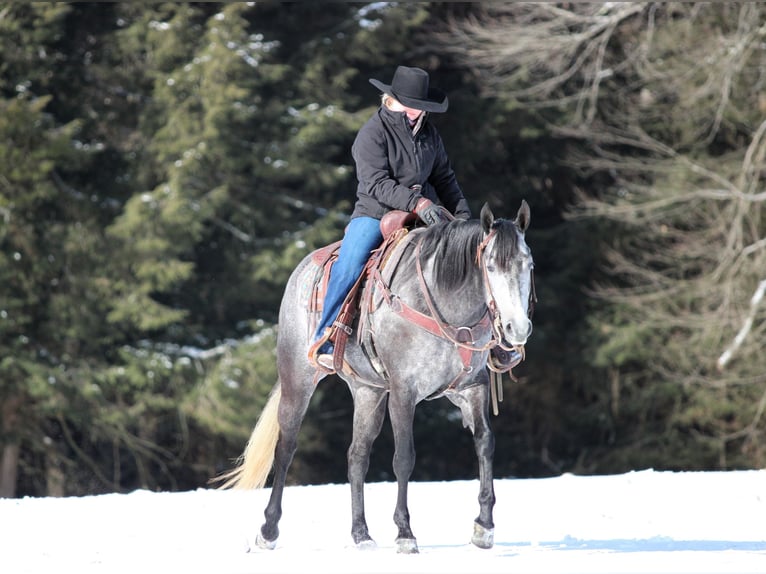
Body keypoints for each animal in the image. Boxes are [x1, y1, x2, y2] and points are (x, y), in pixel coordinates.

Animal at [219, 201, 536, 552]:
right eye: (490, 266)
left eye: (529, 264)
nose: (517, 329)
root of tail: (301, 270)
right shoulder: (403, 392)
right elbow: (404, 457)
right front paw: (405, 533)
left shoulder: (471, 388)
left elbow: (485, 443)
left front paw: (484, 526)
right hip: (297, 380)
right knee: (286, 448)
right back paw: (268, 530)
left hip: (367, 390)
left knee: (357, 455)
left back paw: (361, 534)